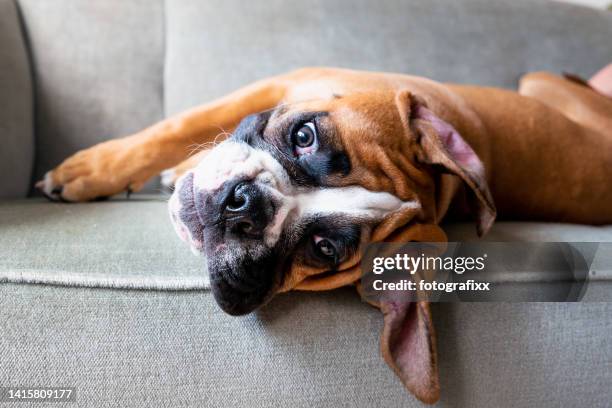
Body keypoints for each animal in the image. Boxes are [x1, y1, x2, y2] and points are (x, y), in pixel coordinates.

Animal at [37, 68, 612, 404]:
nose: (246, 206)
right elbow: (173, 127)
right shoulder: (274, 84)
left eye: (323, 248)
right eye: (304, 135)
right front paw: (92, 170)